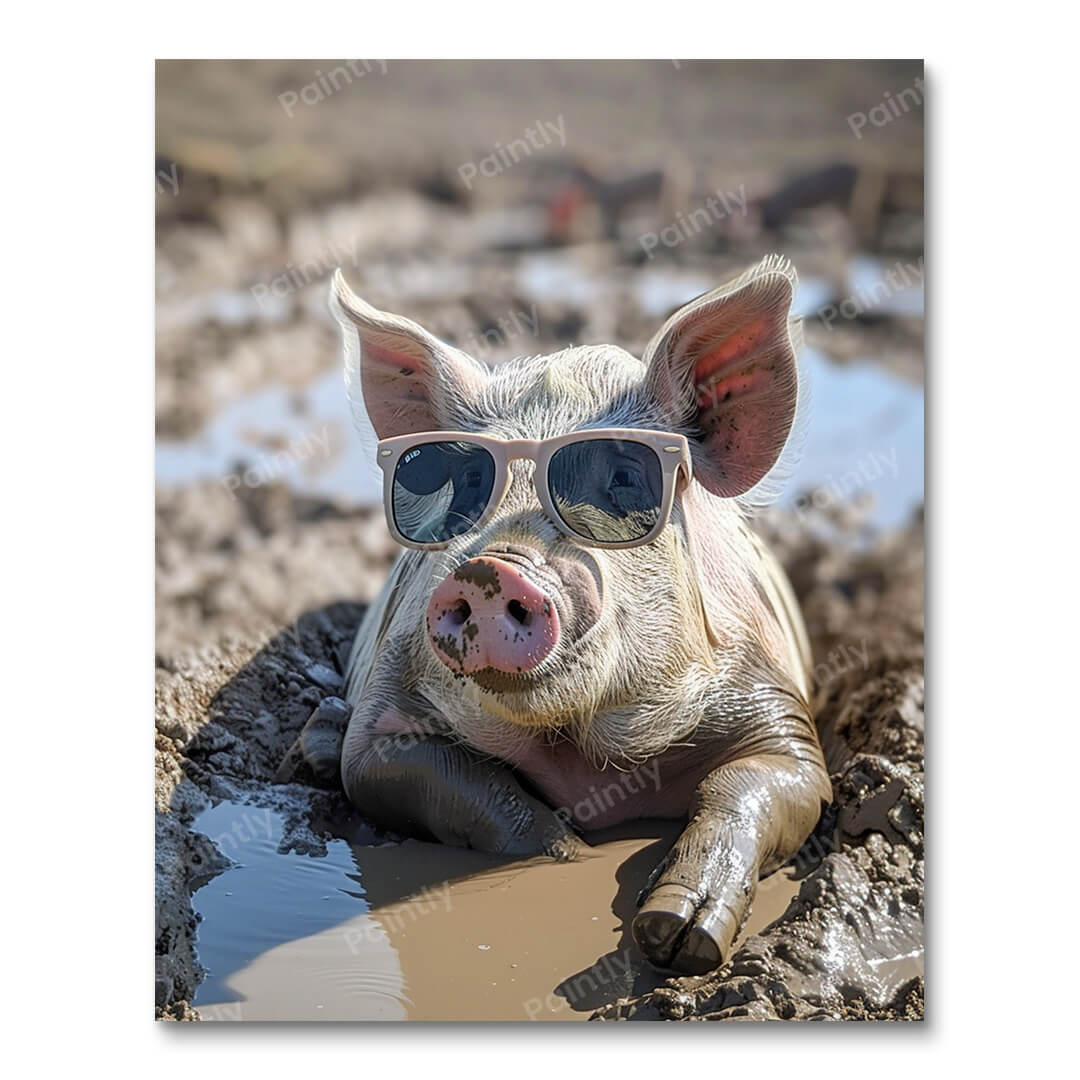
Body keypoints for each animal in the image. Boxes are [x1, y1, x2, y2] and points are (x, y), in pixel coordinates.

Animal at [324, 254, 830, 975]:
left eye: (625, 480)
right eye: (468, 485)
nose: (492, 567)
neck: (581, 748)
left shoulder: (779, 707)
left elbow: (757, 784)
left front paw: (676, 937)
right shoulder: (383, 712)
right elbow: (447, 785)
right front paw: (570, 855)